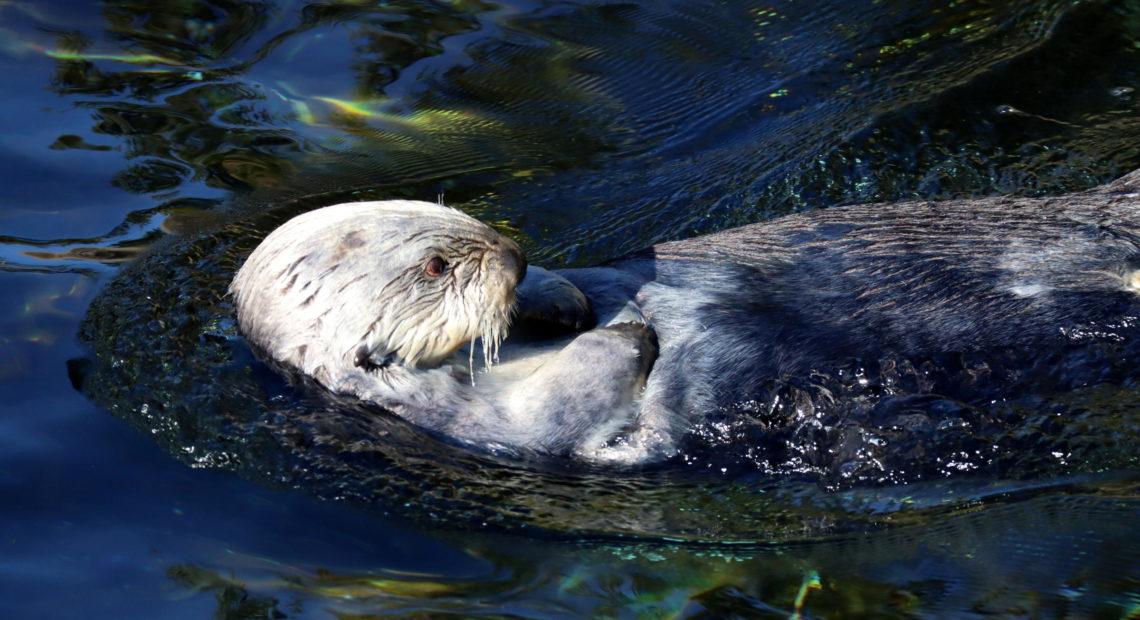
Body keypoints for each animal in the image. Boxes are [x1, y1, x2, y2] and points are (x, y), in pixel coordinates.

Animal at [226, 172, 1140, 462]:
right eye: (435, 267)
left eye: (457, 215)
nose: (511, 254)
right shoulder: (470, 424)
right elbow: (566, 408)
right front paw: (627, 336)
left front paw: (566, 296)